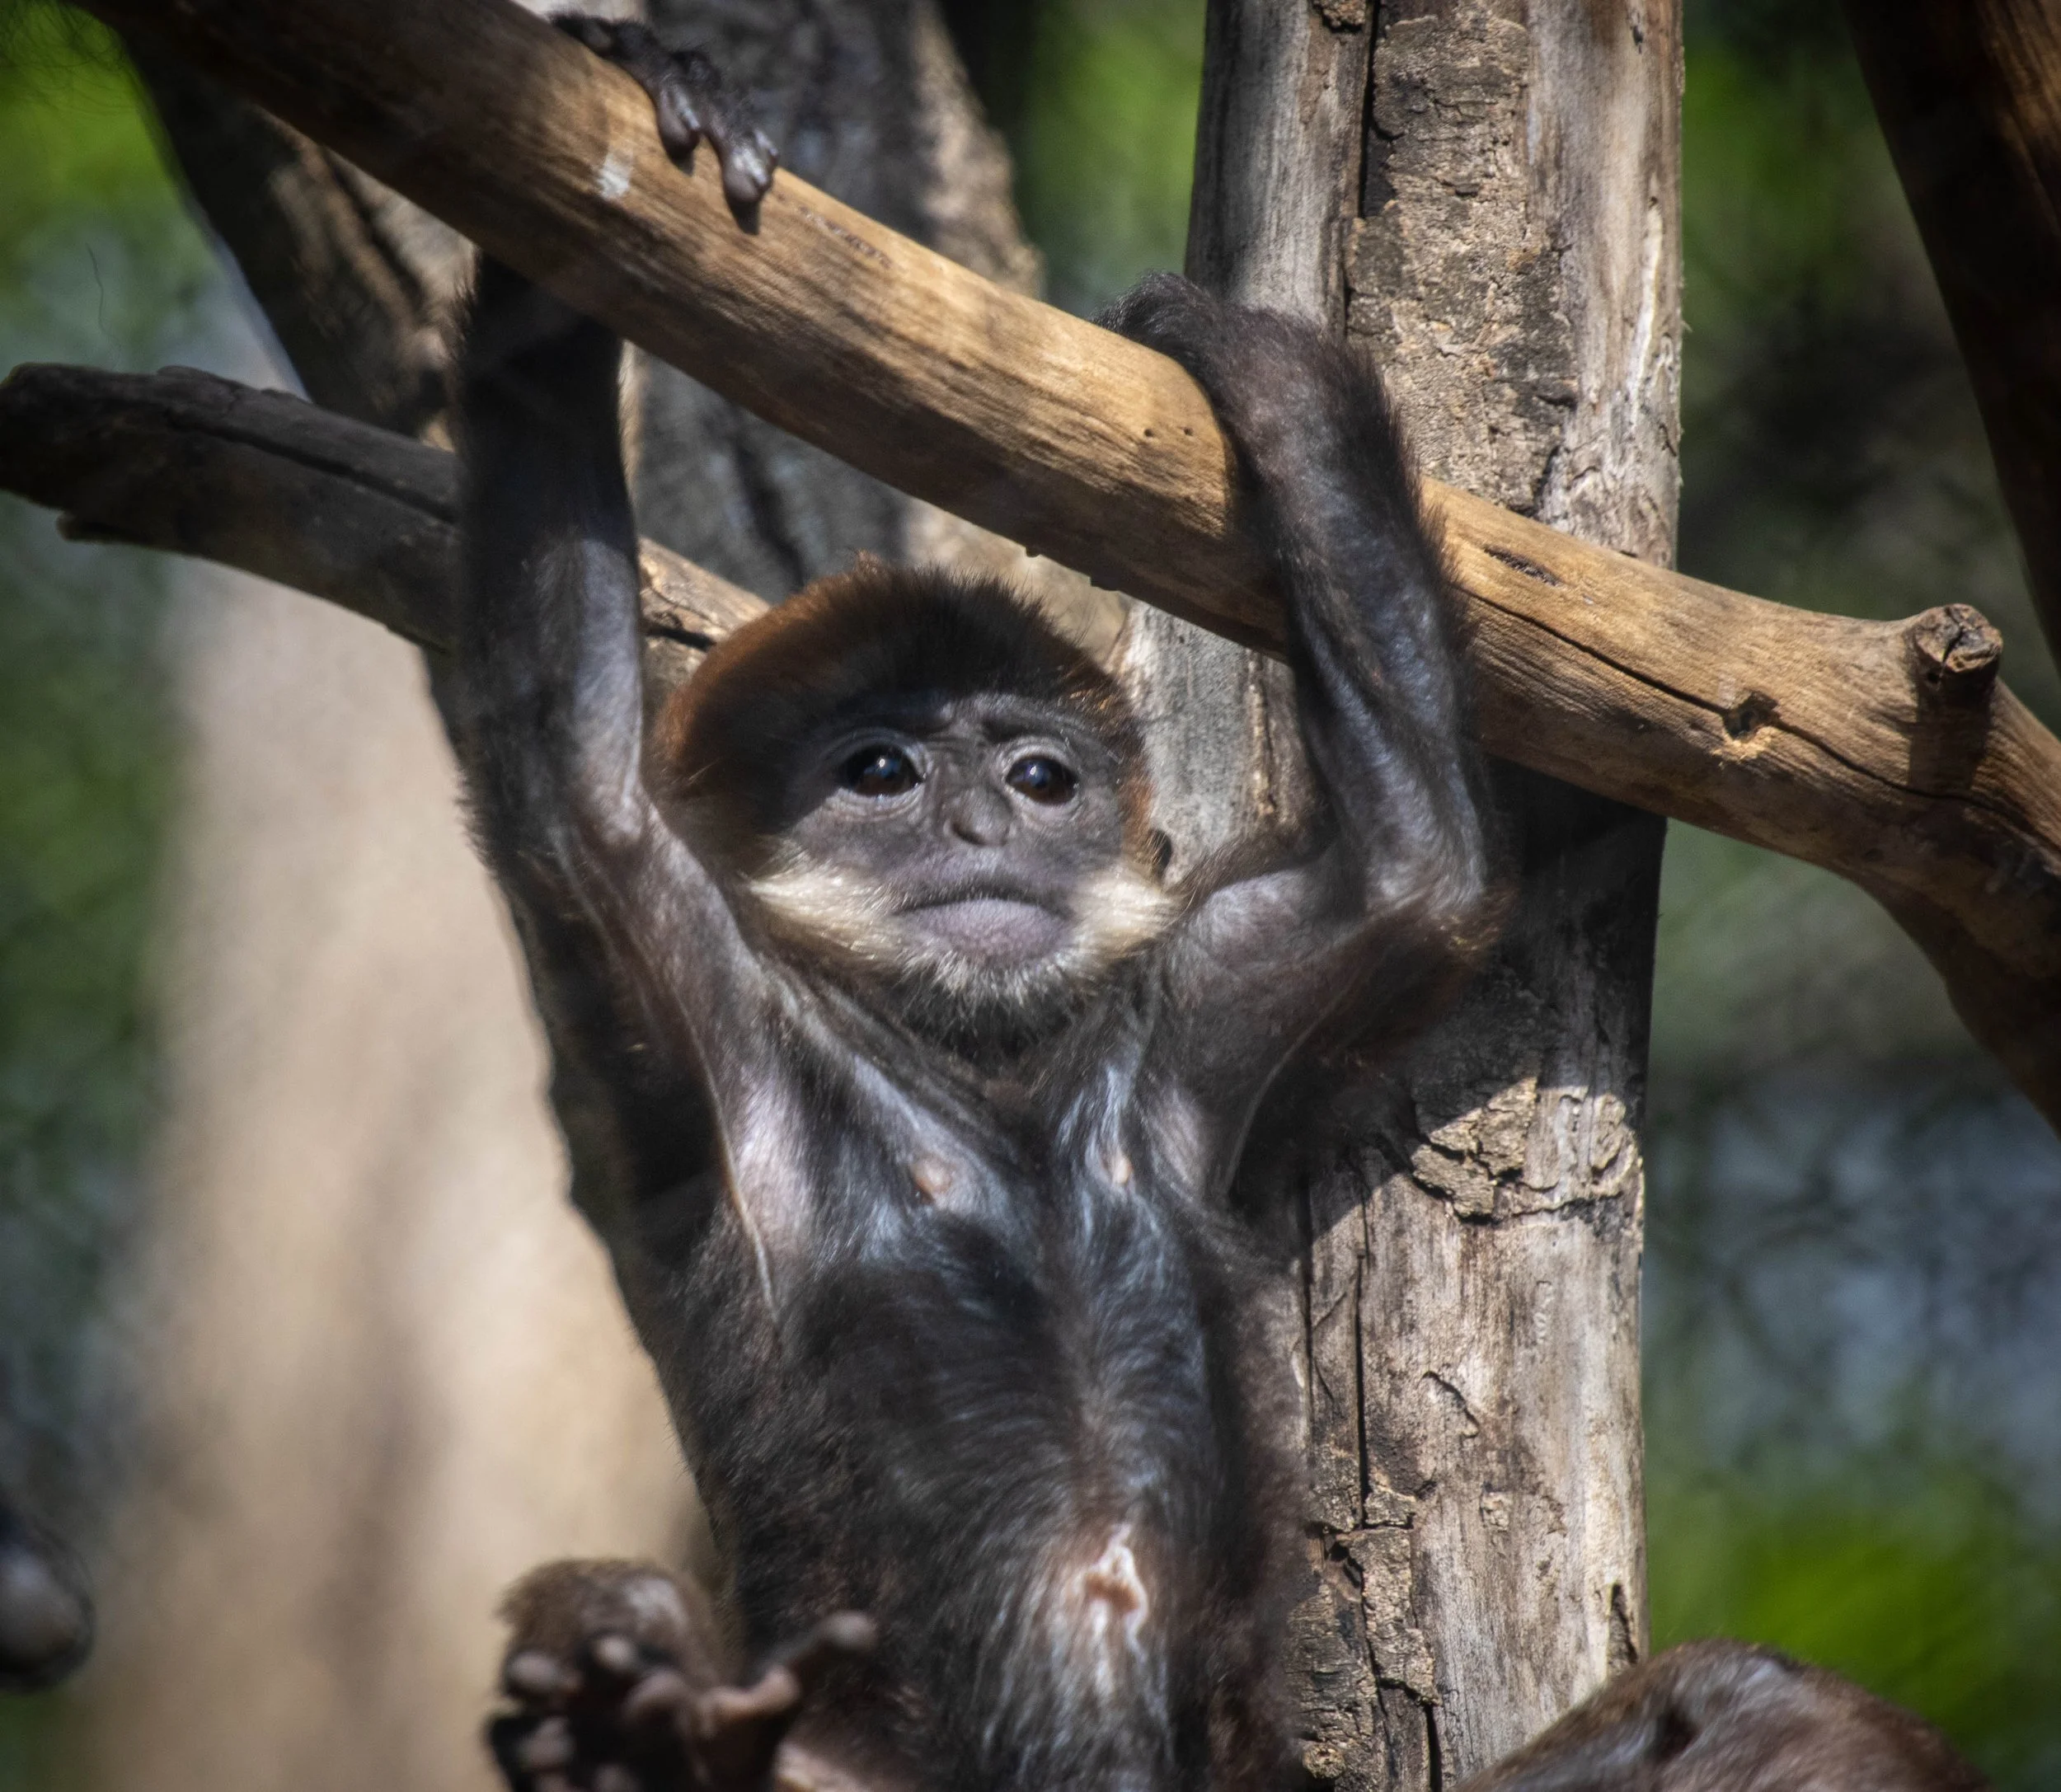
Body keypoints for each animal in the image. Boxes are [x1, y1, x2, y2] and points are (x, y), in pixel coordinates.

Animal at [446, 30, 1492, 1792]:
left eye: (1039, 773)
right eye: (879, 770)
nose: (985, 820)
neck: (982, 1078)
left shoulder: (1192, 1007)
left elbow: (1422, 872)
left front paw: (1247, 362)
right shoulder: (691, 973)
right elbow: (578, 773)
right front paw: (630, 101)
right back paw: (633, 1715)